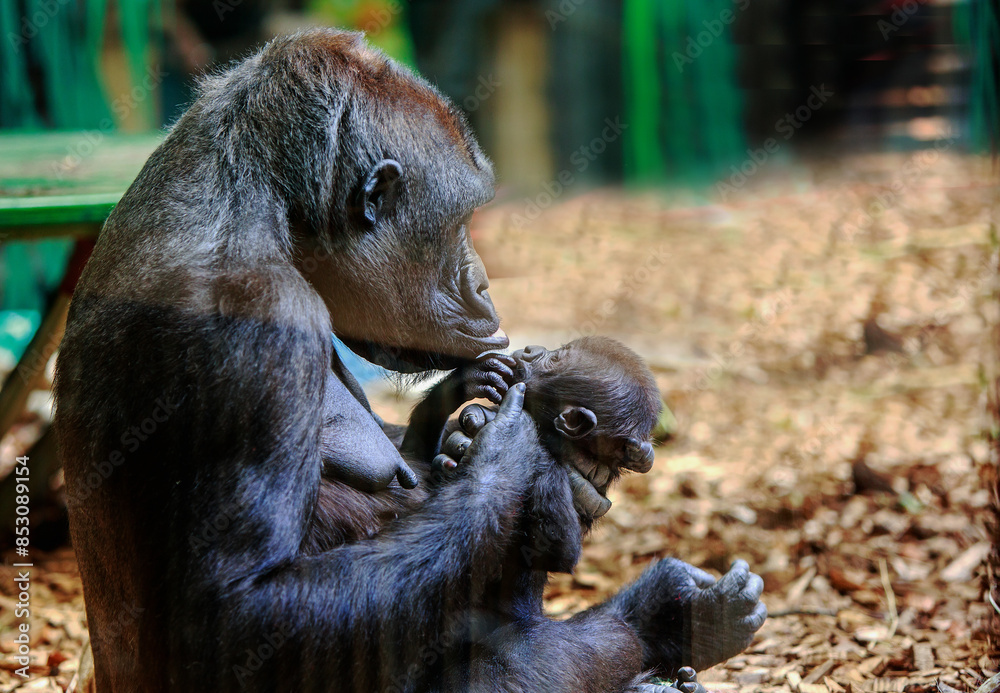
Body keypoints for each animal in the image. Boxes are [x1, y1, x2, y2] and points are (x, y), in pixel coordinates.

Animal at [55, 29, 762, 692]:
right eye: (462, 219)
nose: (483, 283)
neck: (262, 216)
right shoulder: (252, 330)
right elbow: (236, 614)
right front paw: (506, 452)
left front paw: (467, 402)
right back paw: (660, 622)